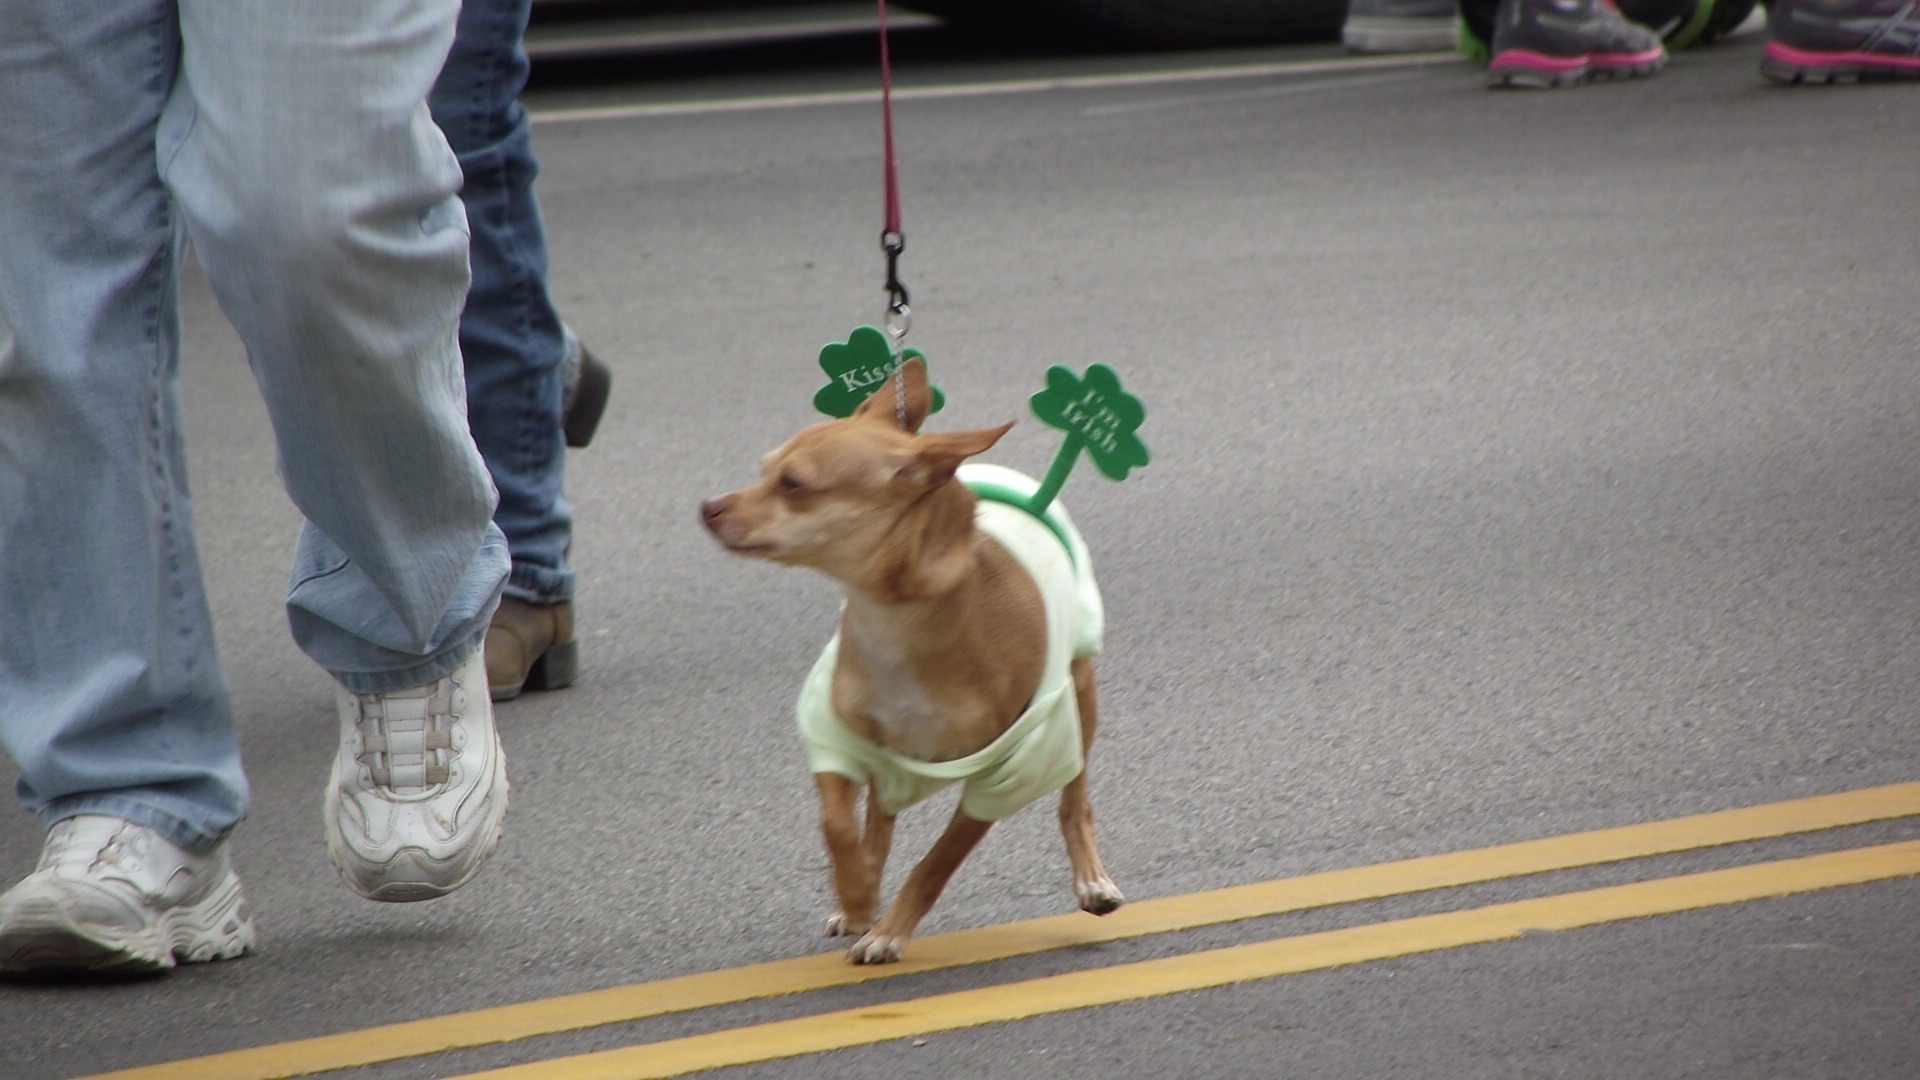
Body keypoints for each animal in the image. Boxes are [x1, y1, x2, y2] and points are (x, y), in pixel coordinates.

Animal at [700, 357, 1124, 964]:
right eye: (763, 471)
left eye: (793, 484)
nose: (708, 507)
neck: (893, 623)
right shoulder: (837, 738)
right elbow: (836, 824)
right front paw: (856, 895)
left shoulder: (1004, 776)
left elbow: (936, 862)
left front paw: (889, 930)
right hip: (889, 754)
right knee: (878, 817)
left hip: (1078, 699)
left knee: (1075, 798)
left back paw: (1091, 880)